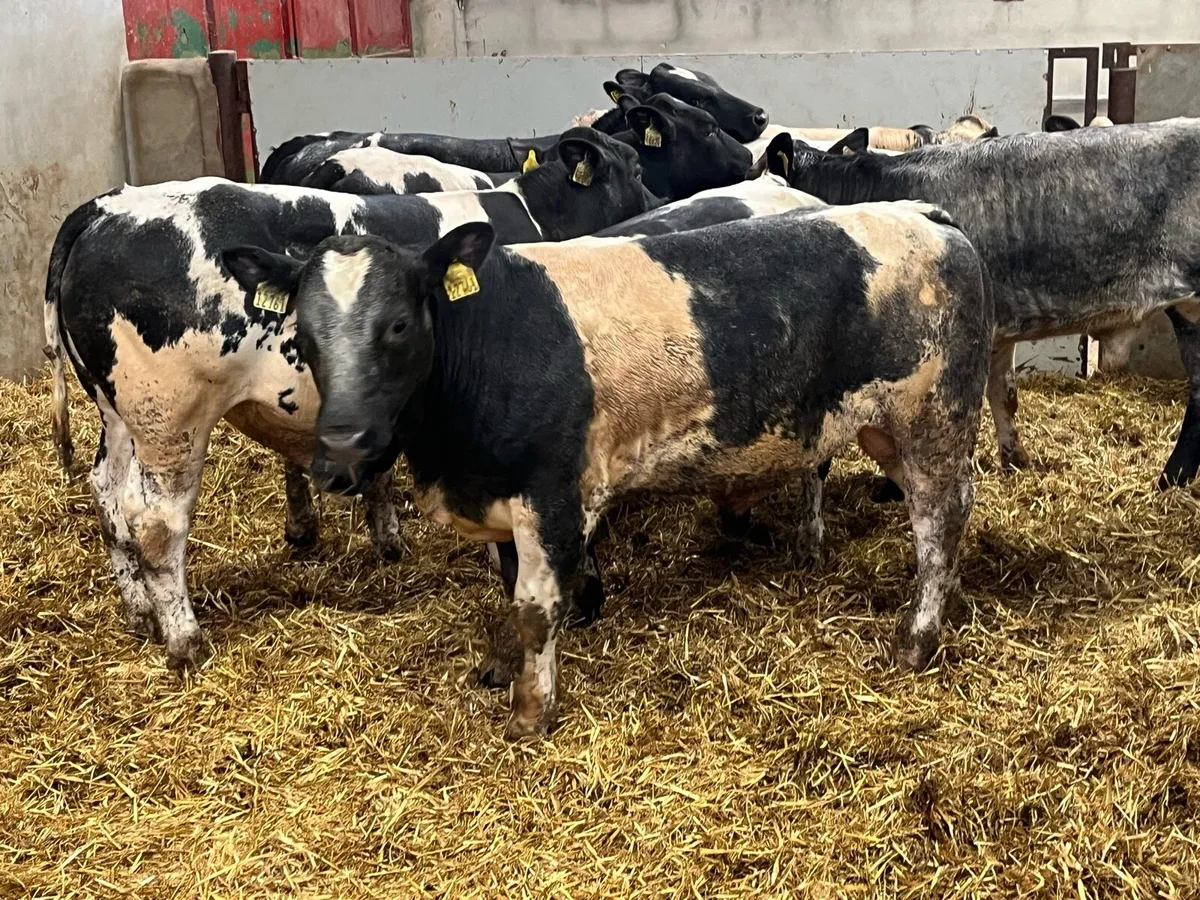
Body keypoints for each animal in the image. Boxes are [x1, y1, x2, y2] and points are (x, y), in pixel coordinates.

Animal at [44, 129, 658, 670]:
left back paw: (139, 613)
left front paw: (389, 539)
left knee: (109, 497)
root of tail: (106, 208)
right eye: (633, 167)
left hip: (118, 414)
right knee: (156, 522)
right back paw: (184, 640)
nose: (656, 198)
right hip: (170, 417)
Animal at [222, 201, 993, 738]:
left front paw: (531, 712)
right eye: (302, 336)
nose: (342, 449)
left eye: (399, 325)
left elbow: (536, 608)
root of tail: (925, 214)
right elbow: (509, 588)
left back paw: (916, 639)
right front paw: (499, 665)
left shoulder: (555, 496)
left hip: (935, 419)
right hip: (885, 426)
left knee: (940, 520)